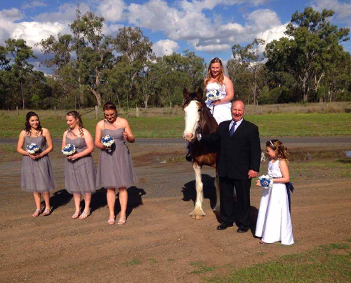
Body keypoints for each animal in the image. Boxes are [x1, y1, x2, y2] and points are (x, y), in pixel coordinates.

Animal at [184, 87, 220, 221]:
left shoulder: (219, 165)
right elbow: (199, 185)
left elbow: (218, 184)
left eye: (199, 109)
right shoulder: (196, 164)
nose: (188, 135)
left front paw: (218, 208)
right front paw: (198, 209)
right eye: (184, 109)